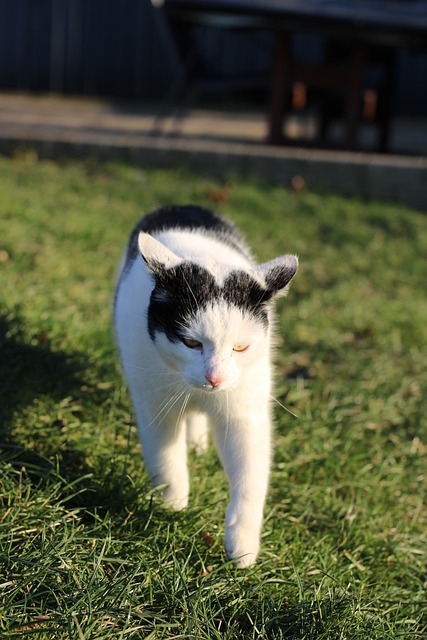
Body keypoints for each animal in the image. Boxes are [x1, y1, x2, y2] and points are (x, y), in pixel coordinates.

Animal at [115, 204, 300, 564]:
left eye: (240, 347)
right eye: (190, 343)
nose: (215, 378)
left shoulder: (244, 414)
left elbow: (249, 474)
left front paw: (242, 546)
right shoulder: (154, 403)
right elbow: (165, 456)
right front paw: (172, 504)